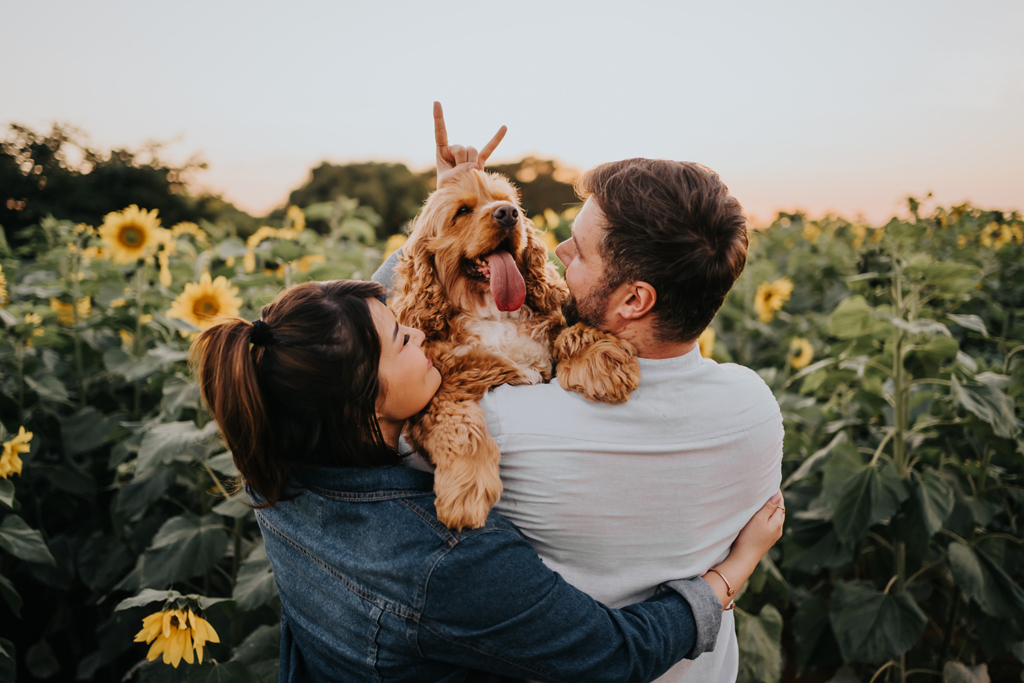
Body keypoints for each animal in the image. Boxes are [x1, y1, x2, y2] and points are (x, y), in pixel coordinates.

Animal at [391, 167, 638, 532]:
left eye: (507, 203)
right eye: (462, 211)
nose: (508, 214)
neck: (492, 313)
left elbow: (574, 332)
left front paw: (604, 364)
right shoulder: (437, 388)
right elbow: (461, 429)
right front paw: (466, 492)